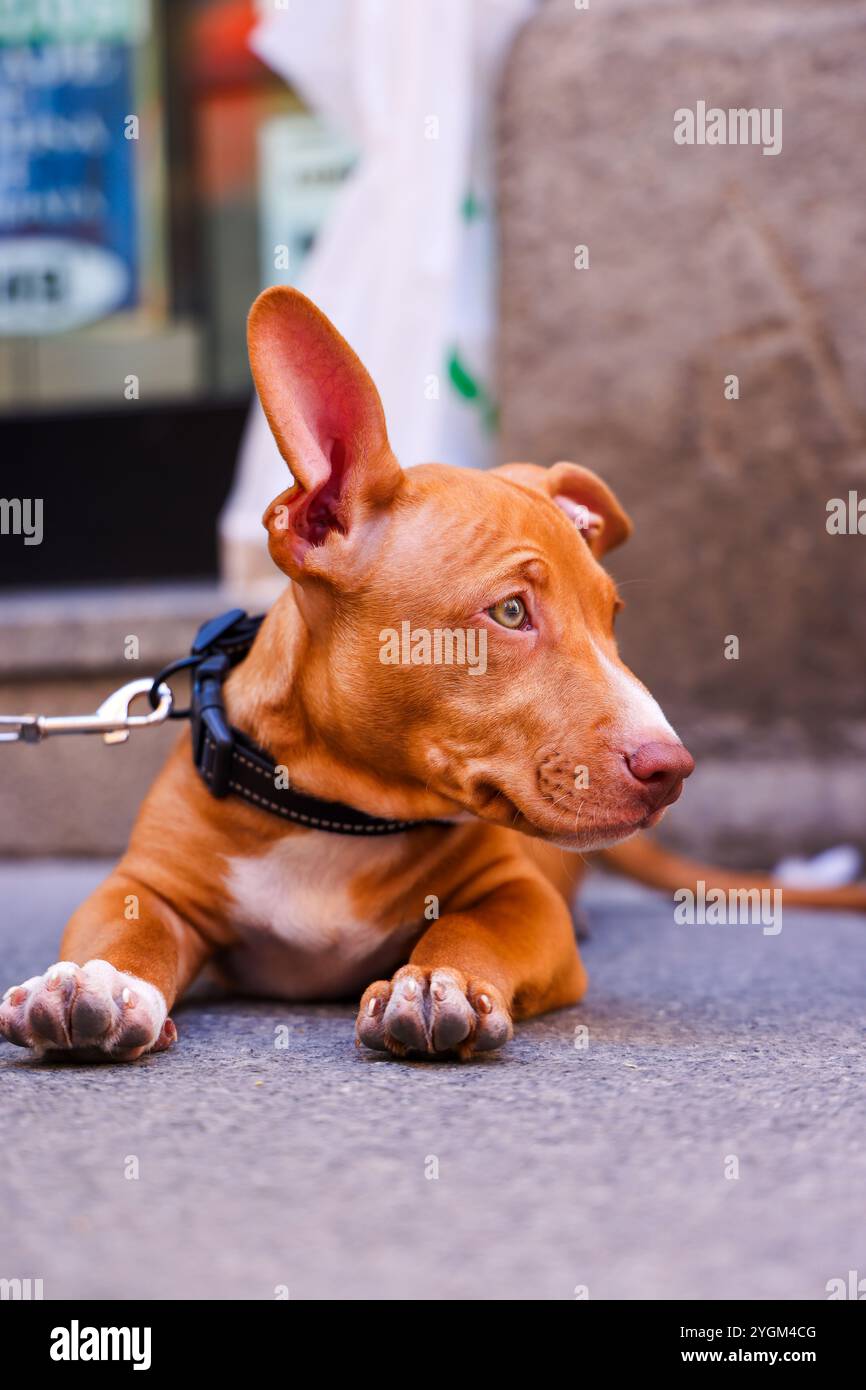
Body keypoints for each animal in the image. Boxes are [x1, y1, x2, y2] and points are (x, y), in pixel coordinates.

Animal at [1, 284, 856, 1061]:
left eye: (612, 618)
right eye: (510, 612)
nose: (672, 768)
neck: (335, 818)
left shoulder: (518, 894)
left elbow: (475, 928)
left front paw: (436, 983)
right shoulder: (145, 885)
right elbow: (126, 928)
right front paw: (100, 981)